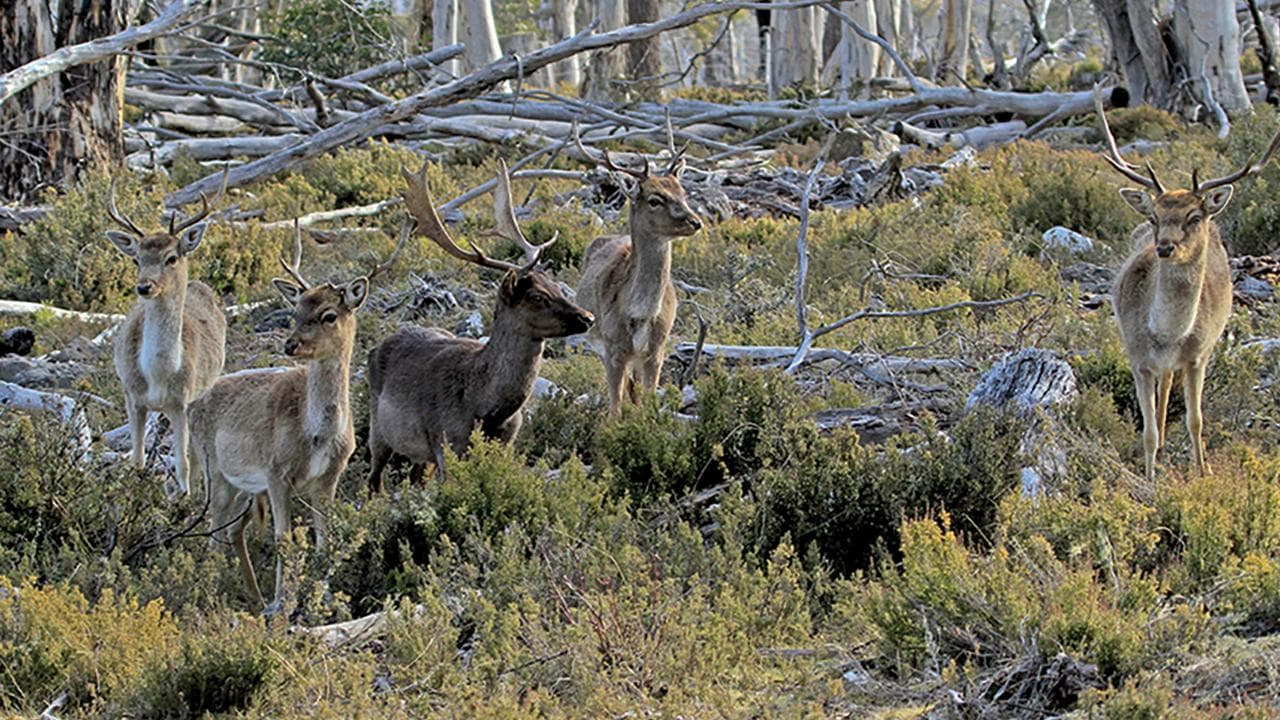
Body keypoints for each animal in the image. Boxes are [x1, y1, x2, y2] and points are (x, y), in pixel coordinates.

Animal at [106, 181, 226, 498]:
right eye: (137, 258)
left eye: (171, 257)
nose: (144, 286)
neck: (158, 375)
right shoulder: (132, 396)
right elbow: (136, 461)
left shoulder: (181, 402)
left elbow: (182, 462)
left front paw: (182, 498)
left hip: (203, 394)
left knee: (196, 455)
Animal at [189, 223, 403, 613]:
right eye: (296, 311)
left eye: (329, 315)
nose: (290, 345)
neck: (316, 435)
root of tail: (192, 403)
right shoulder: (276, 472)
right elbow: (283, 539)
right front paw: (283, 604)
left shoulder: (328, 478)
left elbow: (324, 538)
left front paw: (325, 597)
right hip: (215, 471)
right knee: (213, 530)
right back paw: (212, 593)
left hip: (246, 487)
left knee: (232, 529)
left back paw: (253, 595)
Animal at [365, 160, 594, 493]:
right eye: (537, 296)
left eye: (557, 286)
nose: (587, 317)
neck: (487, 409)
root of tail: (375, 348)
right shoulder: (447, 441)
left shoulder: (508, 441)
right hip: (377, 427)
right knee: (373, 479)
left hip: (420, 454)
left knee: (414, 477)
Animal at [572, 137, 702, 415]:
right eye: (654, 199)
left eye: (683, 193)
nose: (695, 221)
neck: (641, 314)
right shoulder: (613, 348)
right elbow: (614, 409)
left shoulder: (657, 349)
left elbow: (648, 401)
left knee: (633, 389)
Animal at [1096, 87, 1280, 481]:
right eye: (1154, 216)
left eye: (1194, 216)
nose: (1164, 247)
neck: (1167, 335)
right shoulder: (1137, 357)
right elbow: (1147, 430)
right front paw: (1150, 476)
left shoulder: (1198, 355)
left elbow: (1196, 420)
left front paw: (1203, 471)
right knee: (1163, 389)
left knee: (1171, 387)